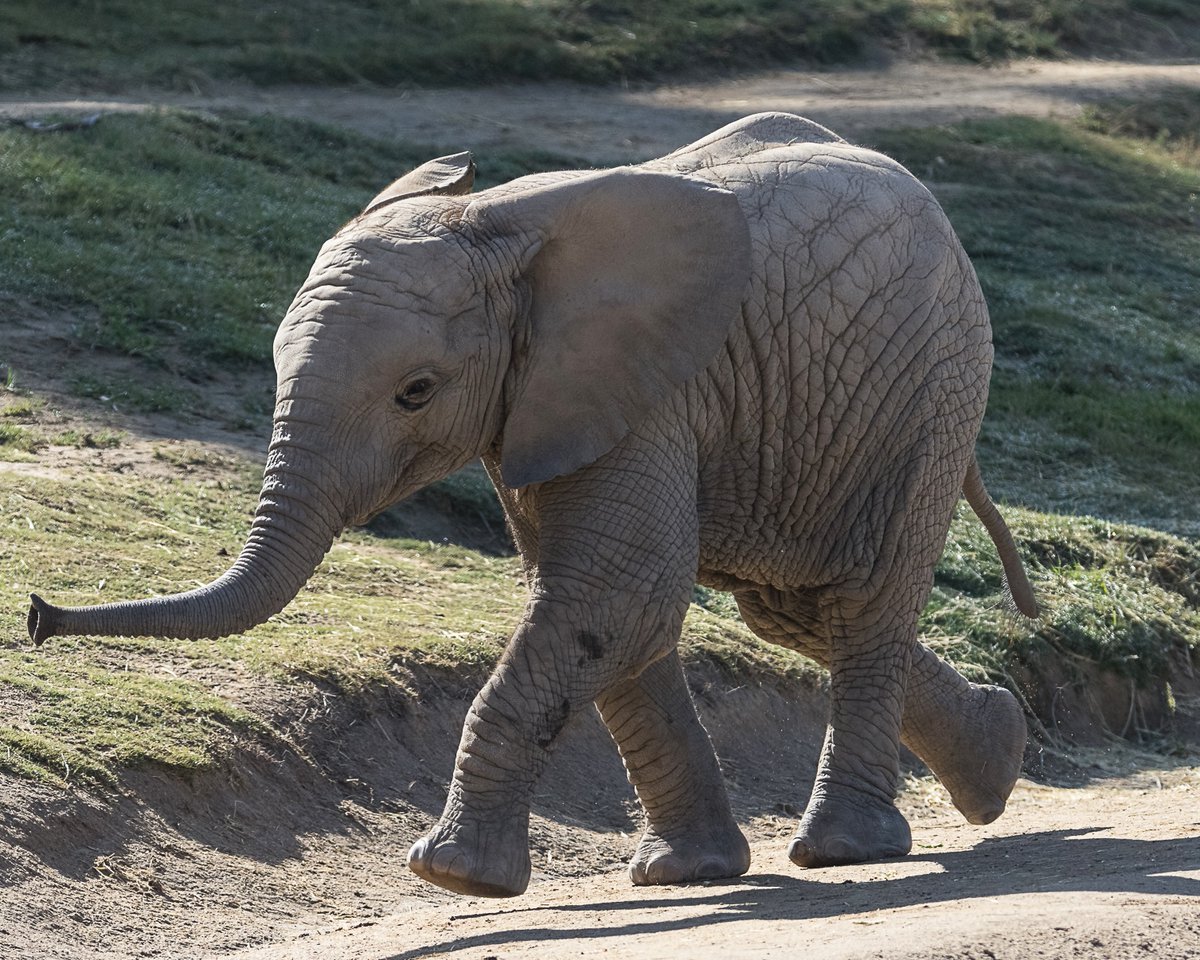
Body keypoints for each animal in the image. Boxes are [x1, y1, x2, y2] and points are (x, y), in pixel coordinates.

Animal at [28, 112, 1038, 898]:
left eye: (417, 392)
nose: (37, 613)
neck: (496, 227)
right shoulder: (555, 400)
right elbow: (605, 608)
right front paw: (684, 876)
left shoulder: (642, 388)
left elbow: (614, 594)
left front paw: (453, 875)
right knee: (795, 610)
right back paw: (998, 757)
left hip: (938, 384)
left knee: (858, 598)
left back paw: (846, 851)